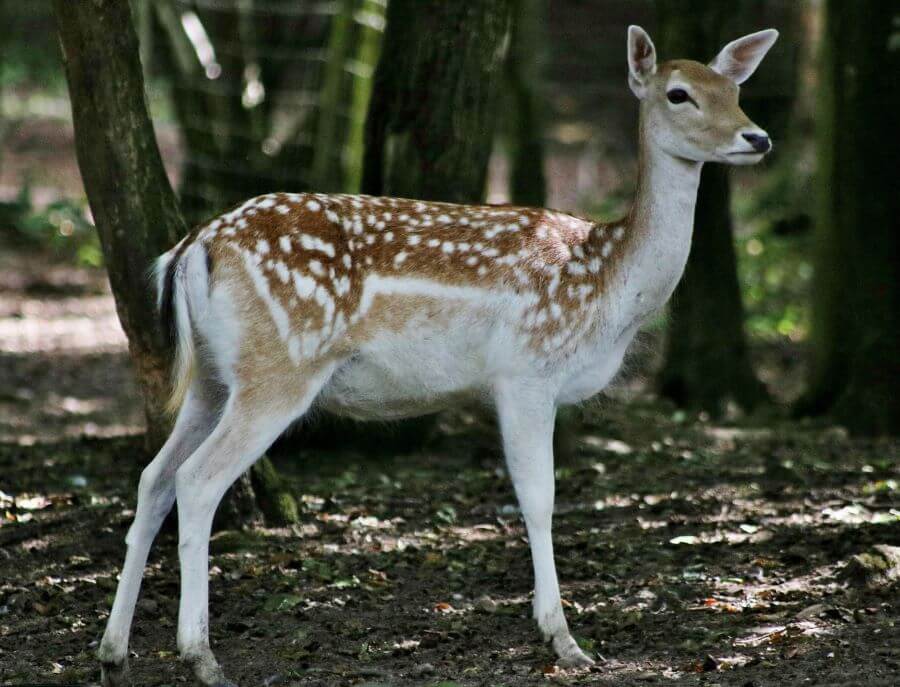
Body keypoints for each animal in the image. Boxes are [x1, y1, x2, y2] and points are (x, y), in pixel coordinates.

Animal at [95, 24, 776, 684]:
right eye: (679, 94)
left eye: (736, 88)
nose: (758, 136)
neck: (608, 286)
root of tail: (193, 247)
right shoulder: (527, 371)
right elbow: (539, 498)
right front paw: (564, 642)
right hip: (278, 367)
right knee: (197, 480)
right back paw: (200, 656)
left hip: (212, 378)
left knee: (155, 477)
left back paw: (113, 652)